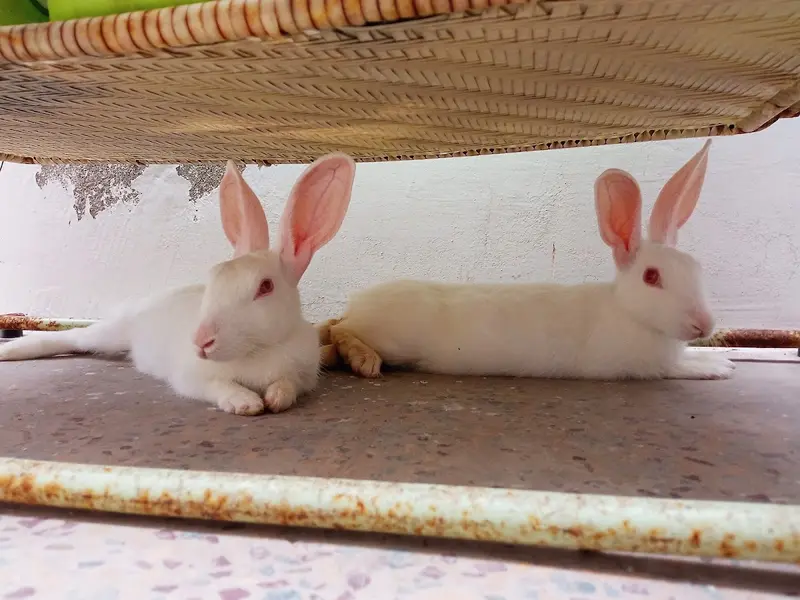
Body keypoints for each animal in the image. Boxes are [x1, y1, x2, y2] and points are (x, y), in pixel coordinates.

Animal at [0, 154, 357, 415]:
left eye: (265, 287)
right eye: (214, 276)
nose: (201, 341)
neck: (258, 351)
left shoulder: (304, 374)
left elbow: (288, 385)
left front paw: (275, 398)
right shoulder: (192, 378)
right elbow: (219, 387)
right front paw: (246, 403)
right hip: (111, 333)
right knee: (72, 338)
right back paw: (12, 351)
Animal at [319, 140, 735, 382]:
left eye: (696, 269)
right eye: (652, 276)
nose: (704, 324)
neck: (628, 312)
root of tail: (357, 302)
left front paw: (721, 360)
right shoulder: (647, 366)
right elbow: (681, 367)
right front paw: (717, 367)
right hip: (393, 338)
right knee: (342, 331)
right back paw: (364, 360)